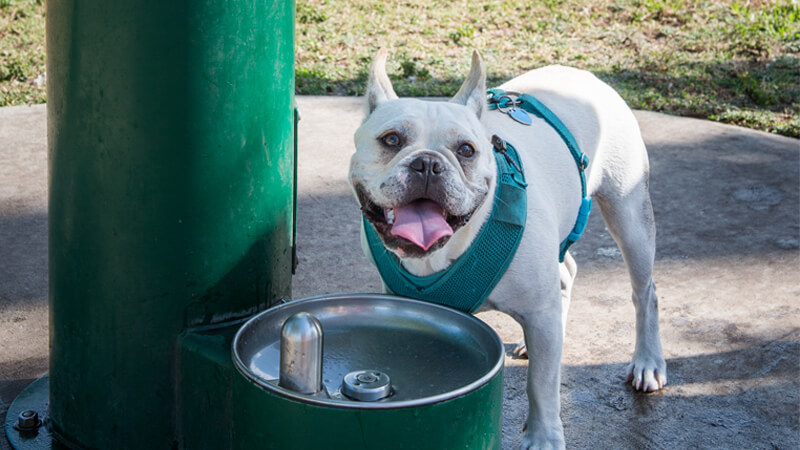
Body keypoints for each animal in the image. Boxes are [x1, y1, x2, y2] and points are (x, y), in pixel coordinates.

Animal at [350, 47, 668, 448]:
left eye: (466, 150)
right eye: (391, 140)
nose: (427, 163)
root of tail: (585, 75)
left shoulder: (541, 314)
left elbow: (542, 385)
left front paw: (544, 437)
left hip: (629, 214)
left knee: (645, 292)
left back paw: (648, 362)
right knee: (567, 273)